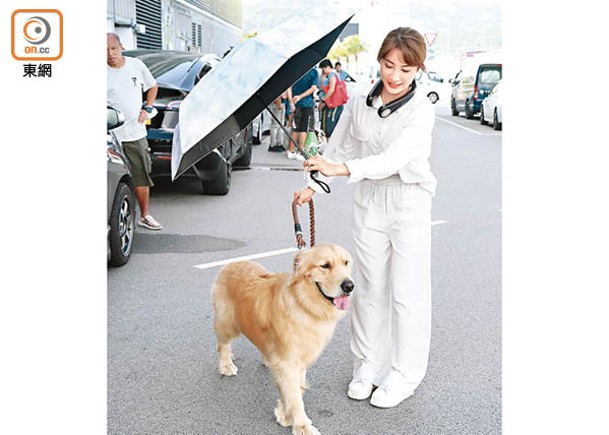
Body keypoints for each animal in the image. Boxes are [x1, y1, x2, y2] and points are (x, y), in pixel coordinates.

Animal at [214, 244, 356, 434]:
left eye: (346, 262)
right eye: (325, 265)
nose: (349, 286)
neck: (305, 304)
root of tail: (232, 263)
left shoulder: (299, 360)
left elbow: (295, 389)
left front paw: (283, 413)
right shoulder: (288, 361)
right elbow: (294, 396)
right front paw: (302, 425)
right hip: (227, 323)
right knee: (223, 344)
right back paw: (226, 365)